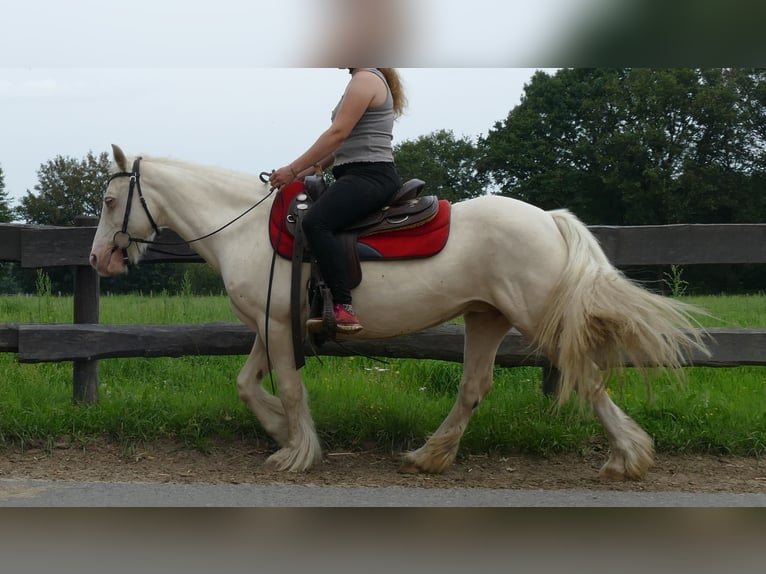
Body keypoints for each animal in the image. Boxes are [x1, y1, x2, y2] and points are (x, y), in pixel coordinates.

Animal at [88, 145, 708, 482]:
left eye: (111, 201)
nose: (98, 259)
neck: (244, 228)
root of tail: (547, 218)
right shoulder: (270, 325)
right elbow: (247, 384)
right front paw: (282, 432)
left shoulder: (279, 326)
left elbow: (289, 388)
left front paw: (297, 451)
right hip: (485, 317)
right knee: (474, 387)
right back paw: (429, 456)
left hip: (537, 319)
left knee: (585, 378)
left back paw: (628, 458)